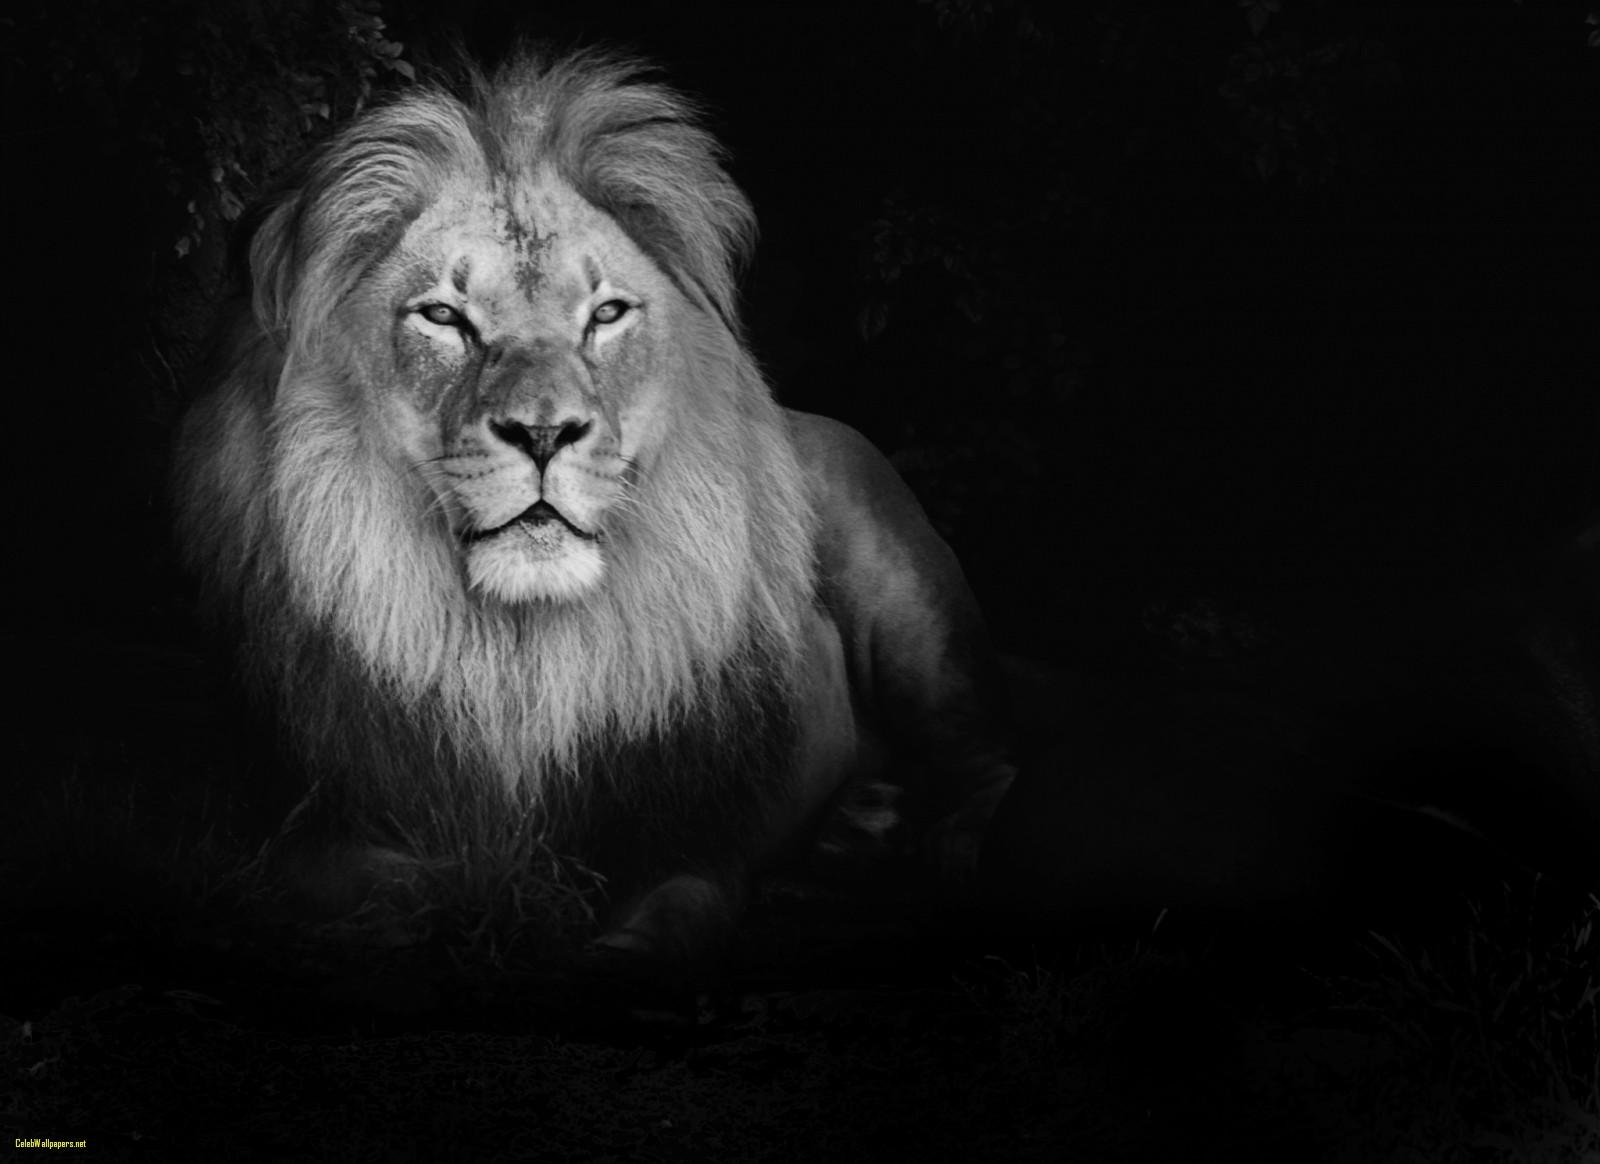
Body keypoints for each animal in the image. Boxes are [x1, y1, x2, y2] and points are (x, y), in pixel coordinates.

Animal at [173, 48, 1016, 961]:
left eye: (606, 314)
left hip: (908, 608)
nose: (545, 433)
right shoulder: (298, 833)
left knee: (991, 754)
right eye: (443, 316)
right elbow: (378, 885)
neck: (519, 655)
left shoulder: (692, 845)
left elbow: (676, 908)